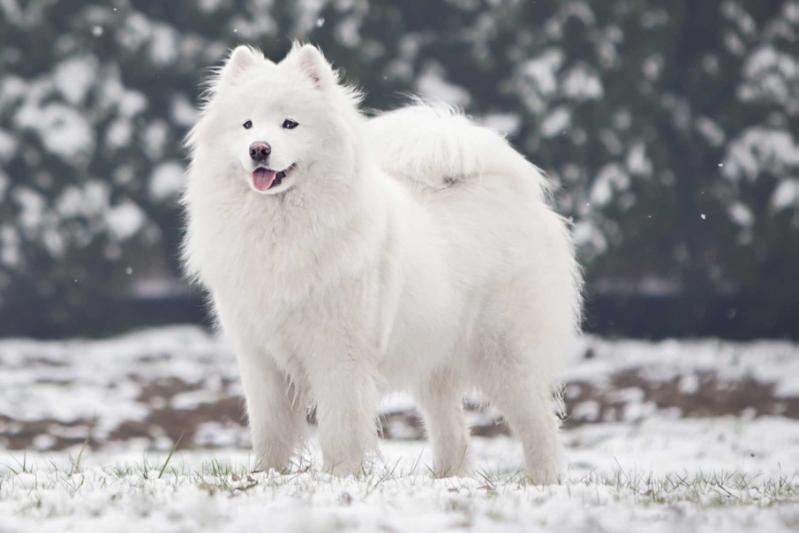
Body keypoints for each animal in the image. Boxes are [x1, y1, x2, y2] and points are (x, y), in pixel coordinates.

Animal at [183, 43, 580, 480]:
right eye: (247, 125)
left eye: (290, 124)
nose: (259, 150)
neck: (280, 228)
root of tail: (515, 192)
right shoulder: (260, 357)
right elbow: (269, 429)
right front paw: (267, 476)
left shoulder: (339, 353)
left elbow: (339, 428)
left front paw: (341, 477)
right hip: (436, 361)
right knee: (455, 435)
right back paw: (446, 479)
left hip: (507, 355)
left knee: (540, 426)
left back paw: (543, 481)